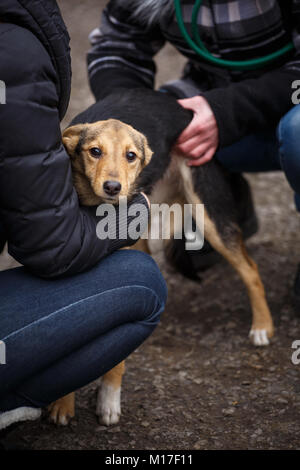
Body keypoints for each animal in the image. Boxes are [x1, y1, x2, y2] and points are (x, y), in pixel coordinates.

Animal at [48, 87, 274, 426]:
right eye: (94, 151)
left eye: (130, 156)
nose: (113, 187)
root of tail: (176, 104)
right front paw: (63, 402)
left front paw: (109, 399)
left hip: (207, 211)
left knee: (250, 268)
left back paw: (262, 326)